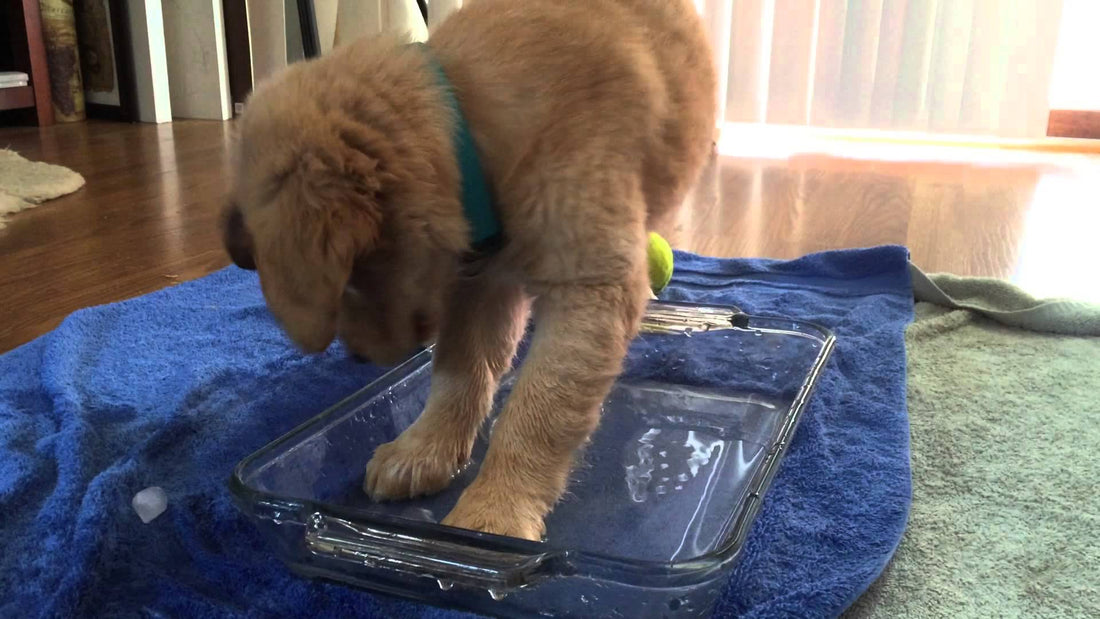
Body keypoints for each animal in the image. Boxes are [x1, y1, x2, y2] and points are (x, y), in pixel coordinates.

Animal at [224, 0, 721, 540]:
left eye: (350, 286)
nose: (357, 358)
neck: (467, 119)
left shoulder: (589, 285)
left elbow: (540, 410)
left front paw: (495, 512)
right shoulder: (482, 280)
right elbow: (459, 370)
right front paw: (423, 448)